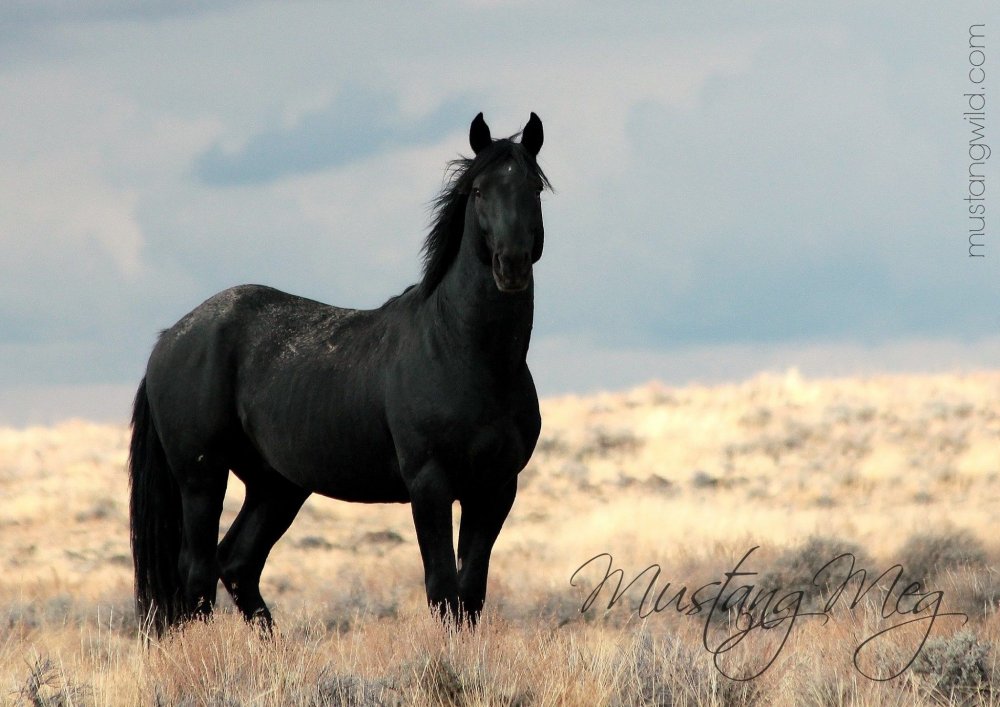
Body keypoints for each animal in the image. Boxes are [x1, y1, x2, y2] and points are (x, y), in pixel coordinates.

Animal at [129, 112, 552, 636]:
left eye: (534, 188)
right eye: (478, 191)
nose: (510, 264)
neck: (466, 355)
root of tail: (171, 337)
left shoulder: (494, 489)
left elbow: (470, 594)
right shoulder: (429, 485)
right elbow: (442, 589)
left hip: (276, 486)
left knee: (237, 563)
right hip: (201, 478)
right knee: (199, 571)